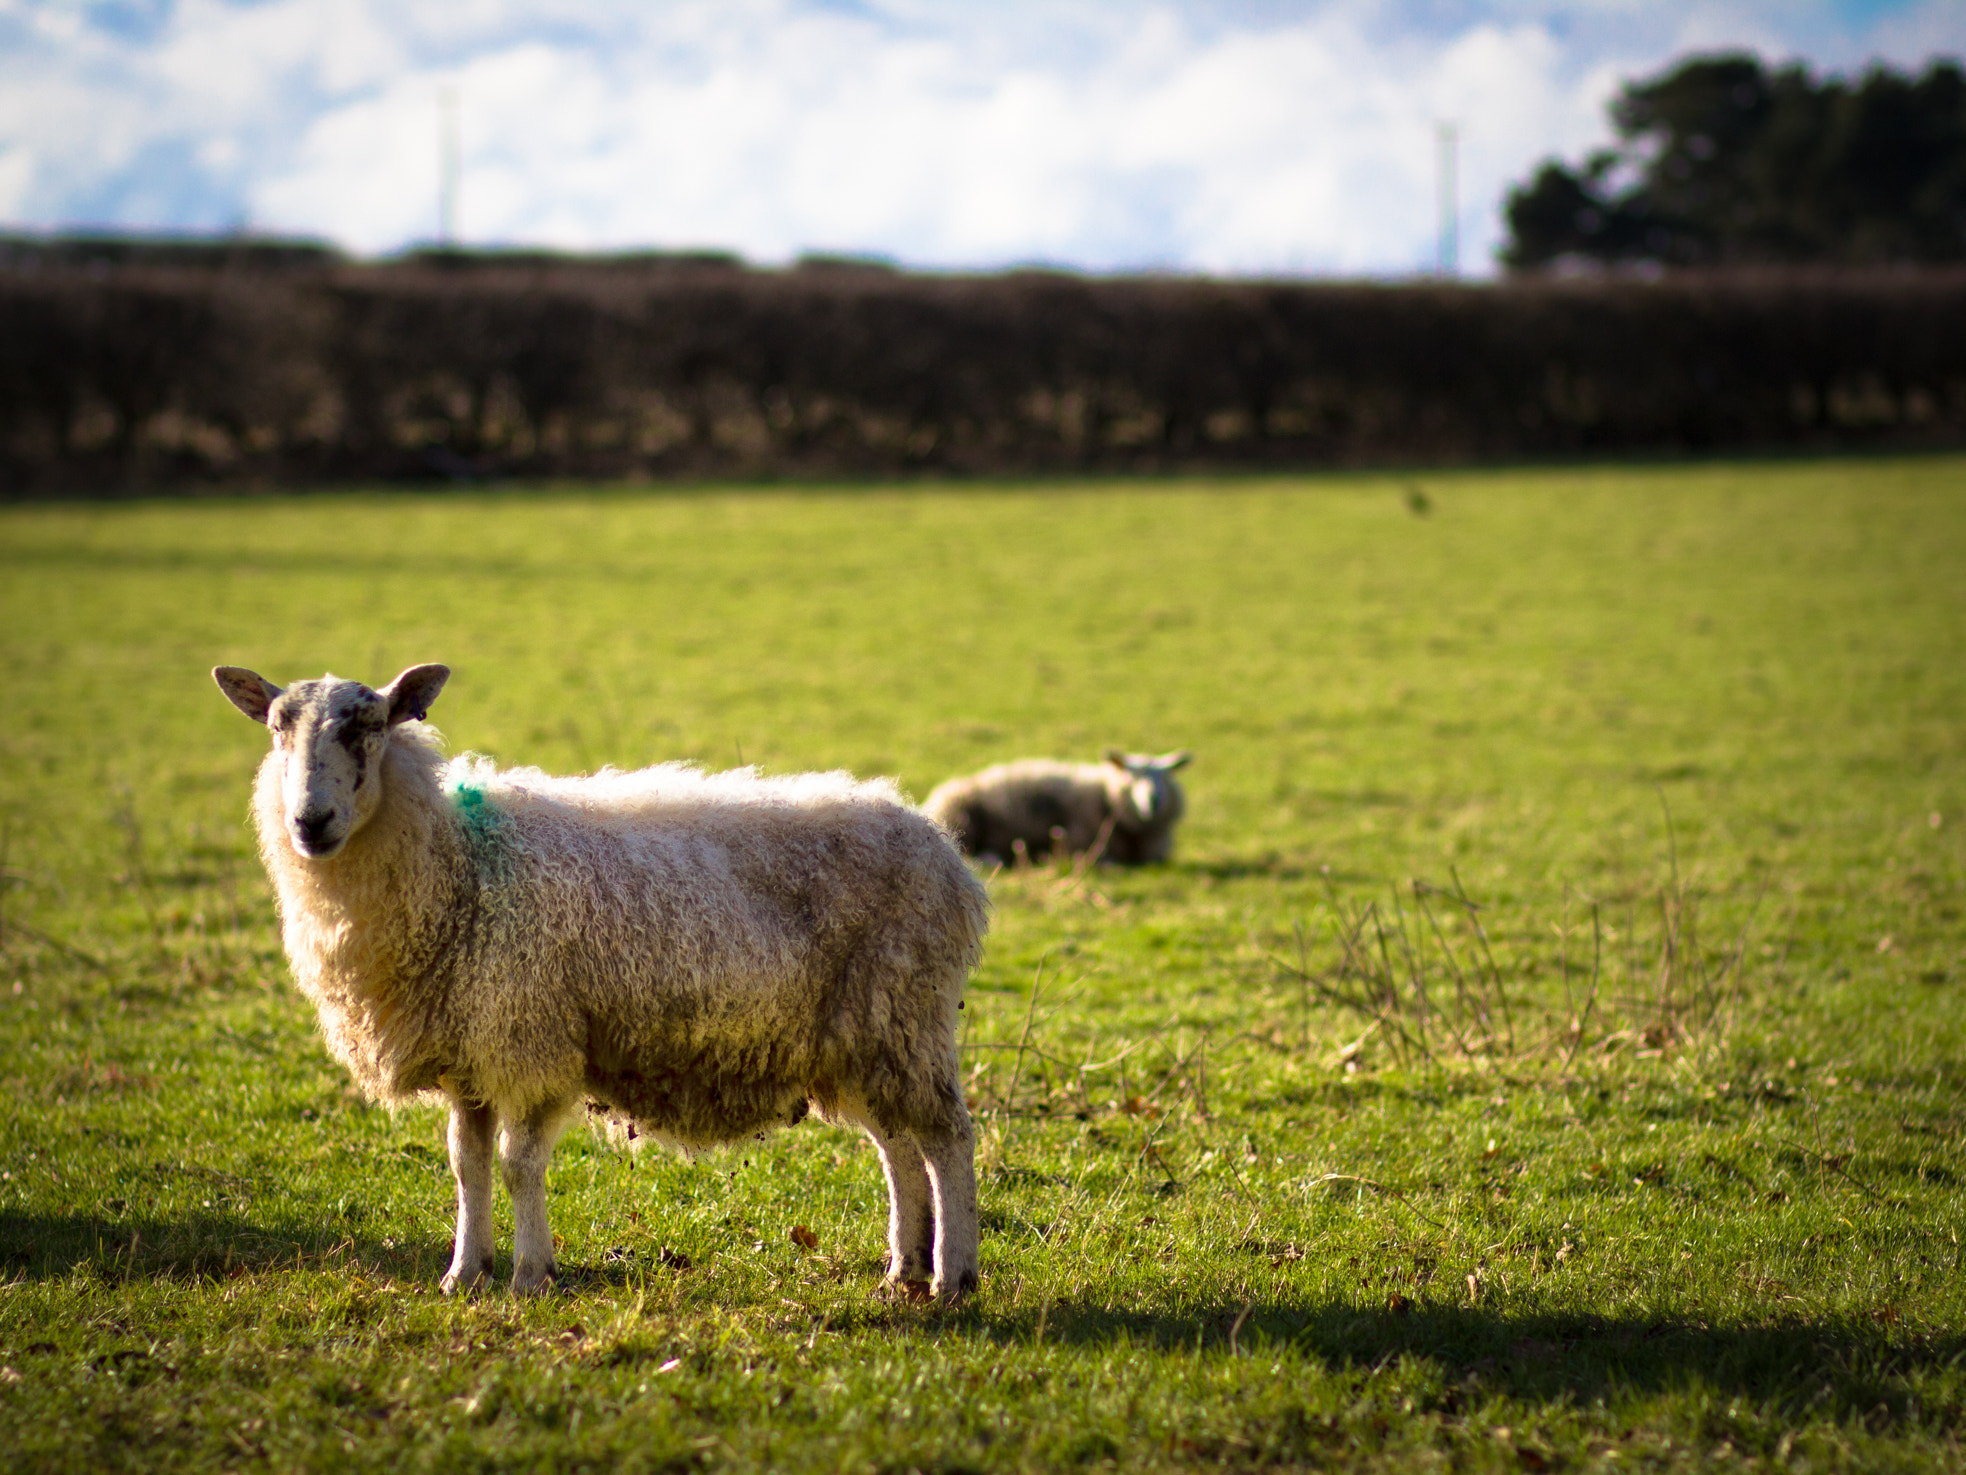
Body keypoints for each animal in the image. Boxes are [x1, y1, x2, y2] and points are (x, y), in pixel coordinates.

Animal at [207, 668, 990, 1305]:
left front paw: (529, 1275)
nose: (310, 821)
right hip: (863, 1034)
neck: (458, 865)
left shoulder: (528, 1037)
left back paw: (952, 1277)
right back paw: (903, 1270)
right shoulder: (470, 1050)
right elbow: (467, 1165)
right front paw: (464, 1273)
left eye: (367, 727)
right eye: (276, 727)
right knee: (898, 1147)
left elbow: (518, 1164)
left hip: (904, 1015)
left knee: (947, 1138)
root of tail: (948, 856)